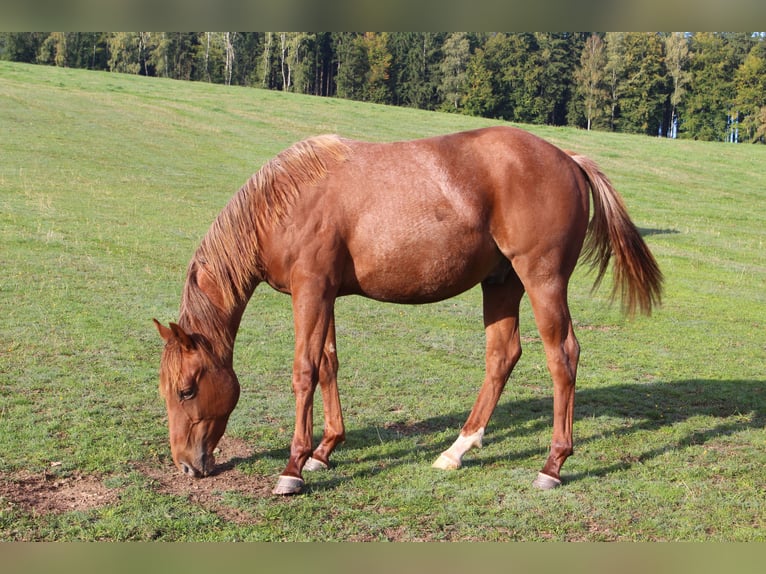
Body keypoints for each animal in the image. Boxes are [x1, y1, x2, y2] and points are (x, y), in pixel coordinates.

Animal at [154, 126, 662, 495]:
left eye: (185, 390)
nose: (187, 465)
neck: (286, 200)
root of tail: (570, 160)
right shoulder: (326, 294)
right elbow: (328, 365)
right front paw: (324, 451)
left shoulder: (311, 290)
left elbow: (304, 371)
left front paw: (294, 466)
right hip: (502, 283)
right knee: (502, 356)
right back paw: (457, 449)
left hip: (543, 281)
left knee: (563, 357)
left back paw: (552, 464)